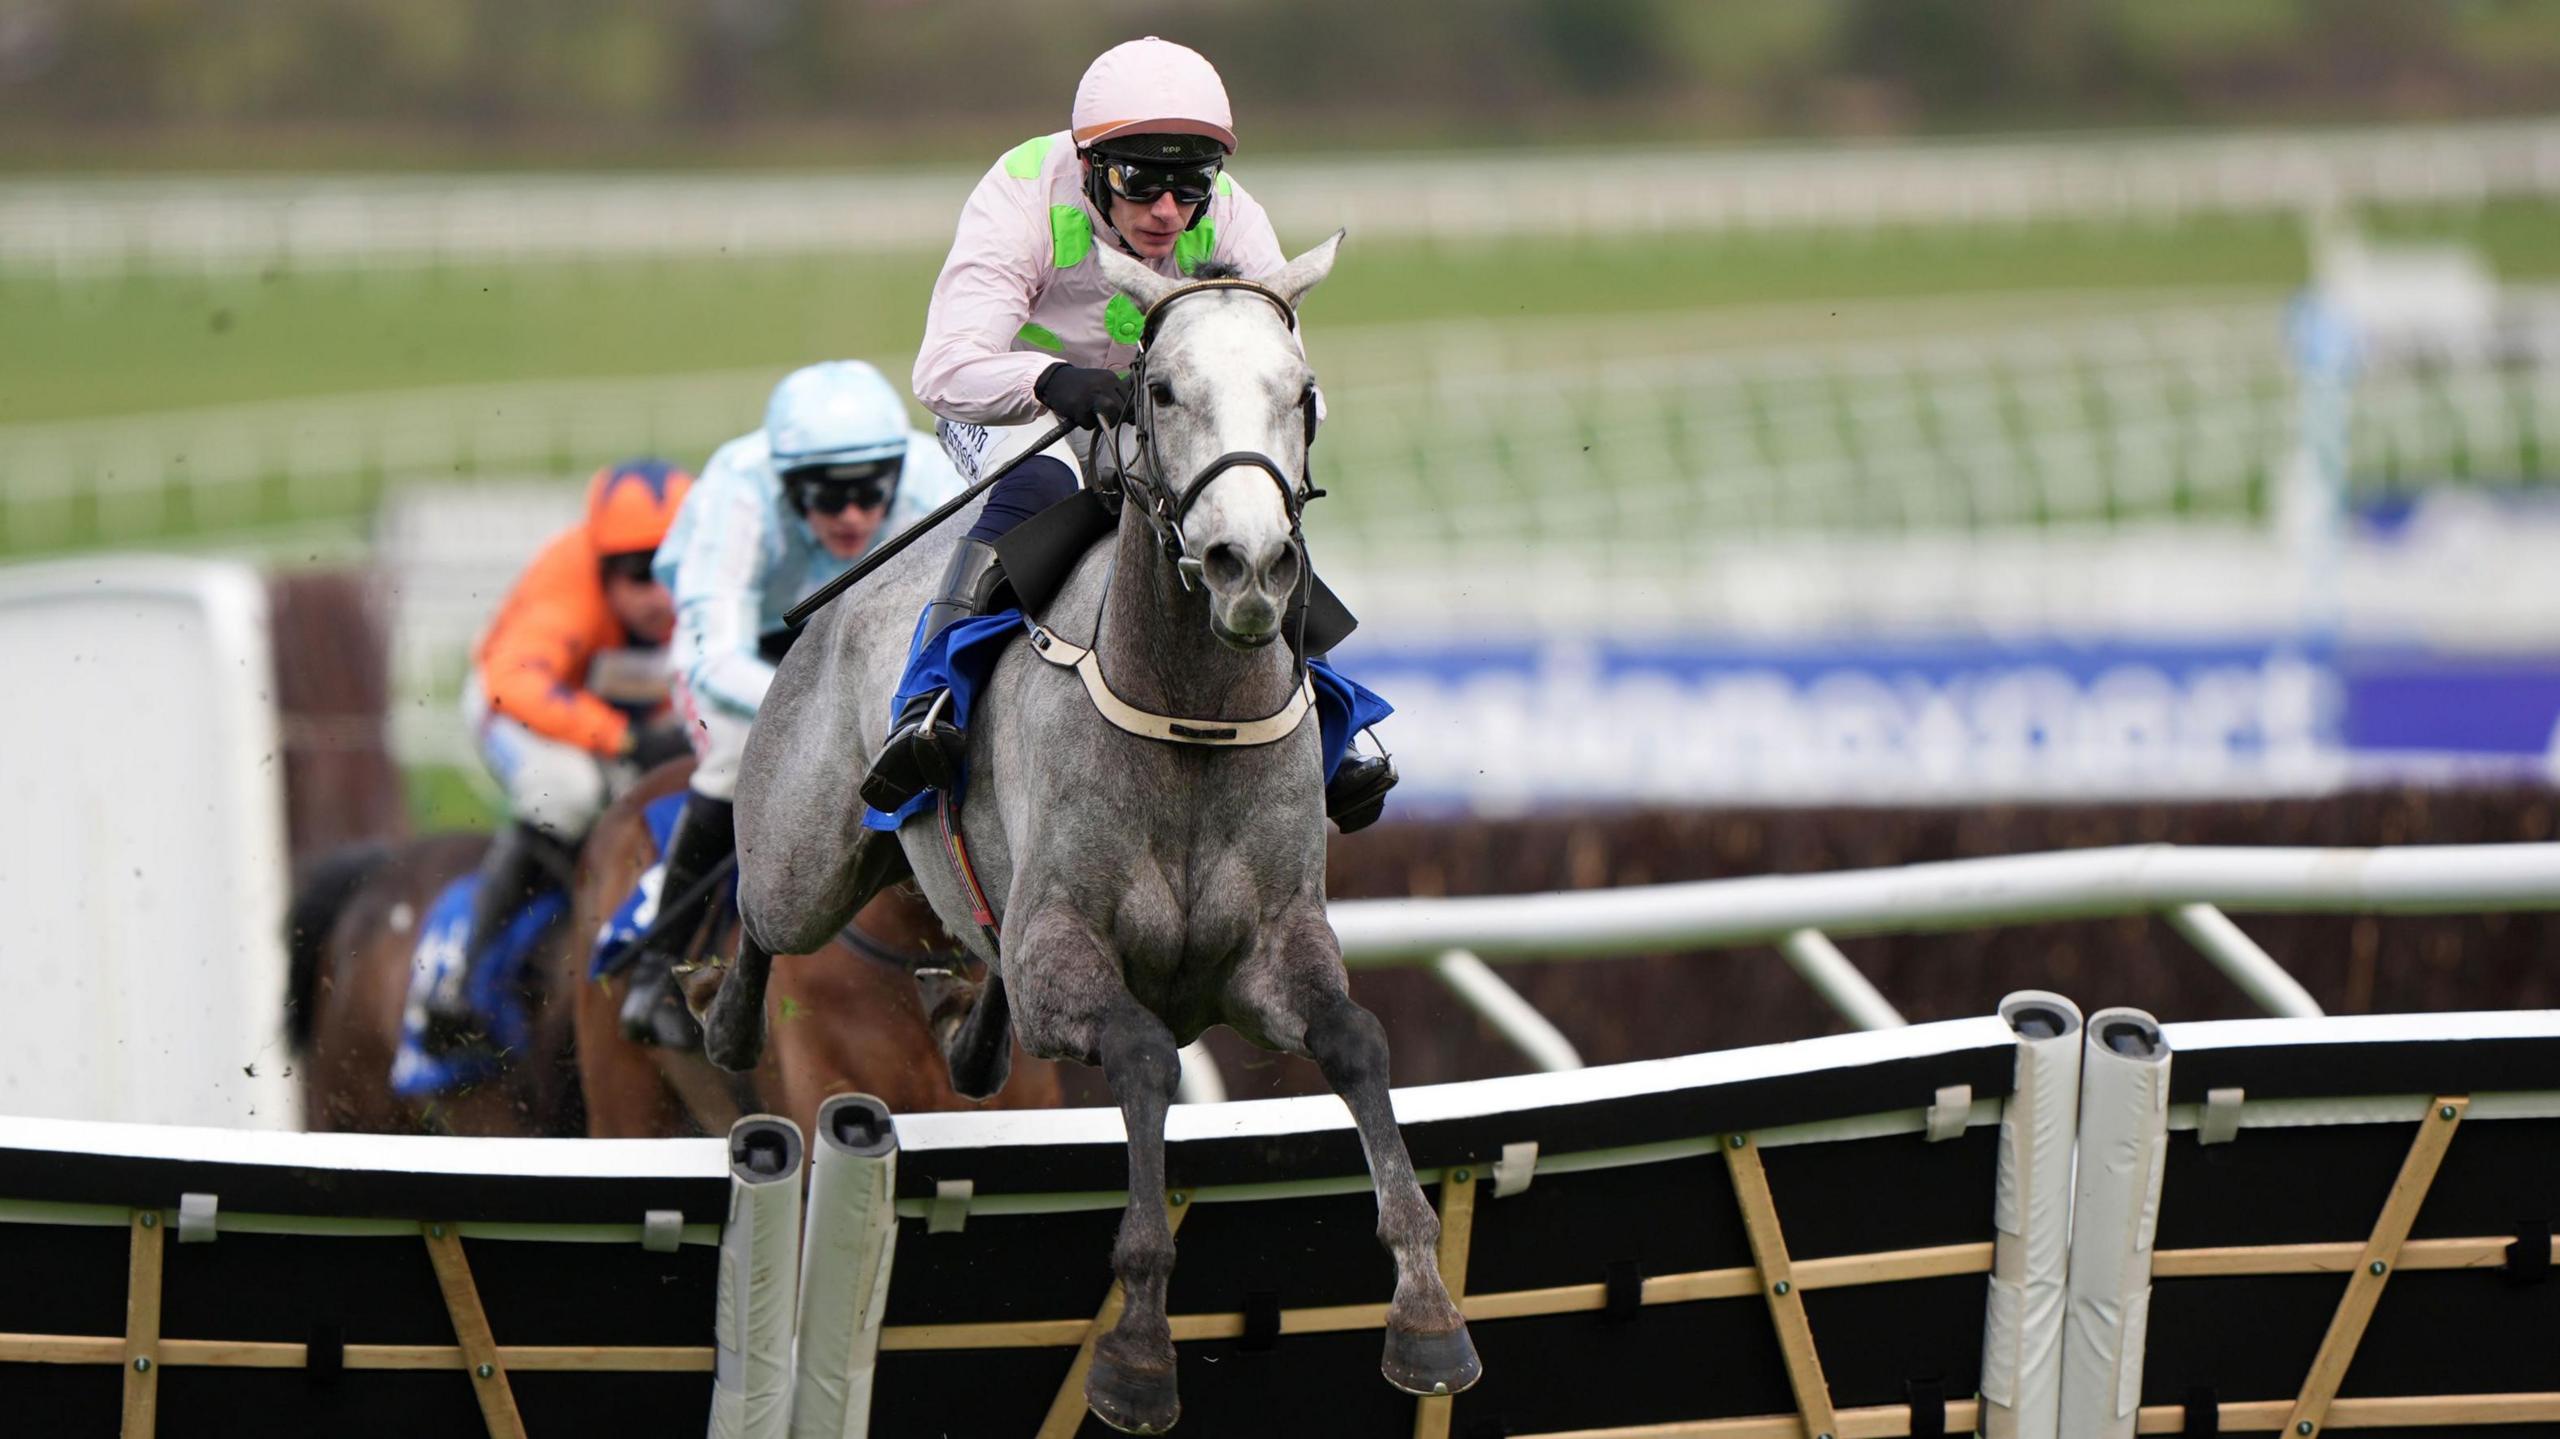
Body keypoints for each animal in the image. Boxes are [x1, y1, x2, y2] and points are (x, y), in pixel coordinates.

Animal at [711, 235, 1495, 1423]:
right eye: (1160, 388)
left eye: (1302, 392)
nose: (1248, 565)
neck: (1190, 716)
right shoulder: (1067, 955)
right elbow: (1140, 1056)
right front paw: (1135, 1348)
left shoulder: (1271, 953)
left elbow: (1357, 1041)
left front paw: (1427, 1313)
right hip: (805, 859)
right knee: (760, 910)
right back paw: (722, 1019)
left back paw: (967, 1034)